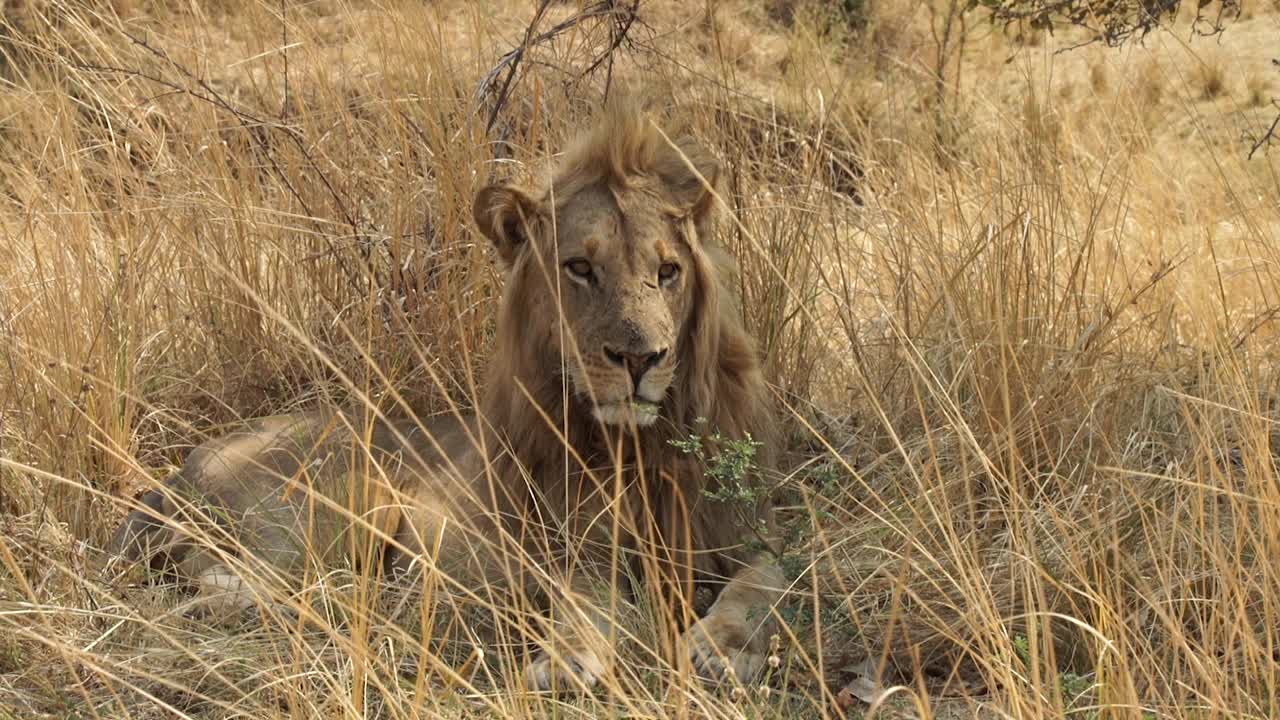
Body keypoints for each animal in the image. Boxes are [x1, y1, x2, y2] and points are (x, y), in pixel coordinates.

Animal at [110, 102, 783, 691]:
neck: (634, 446)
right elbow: (582, 607)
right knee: (215, 581)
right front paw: (564, 663)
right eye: (579, 268)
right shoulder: (572, 552)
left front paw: (720, 651)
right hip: (354, 495)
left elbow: (761, 585)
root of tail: (185, 466)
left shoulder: (745, 533)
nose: (641, 359)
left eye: (668, 272)